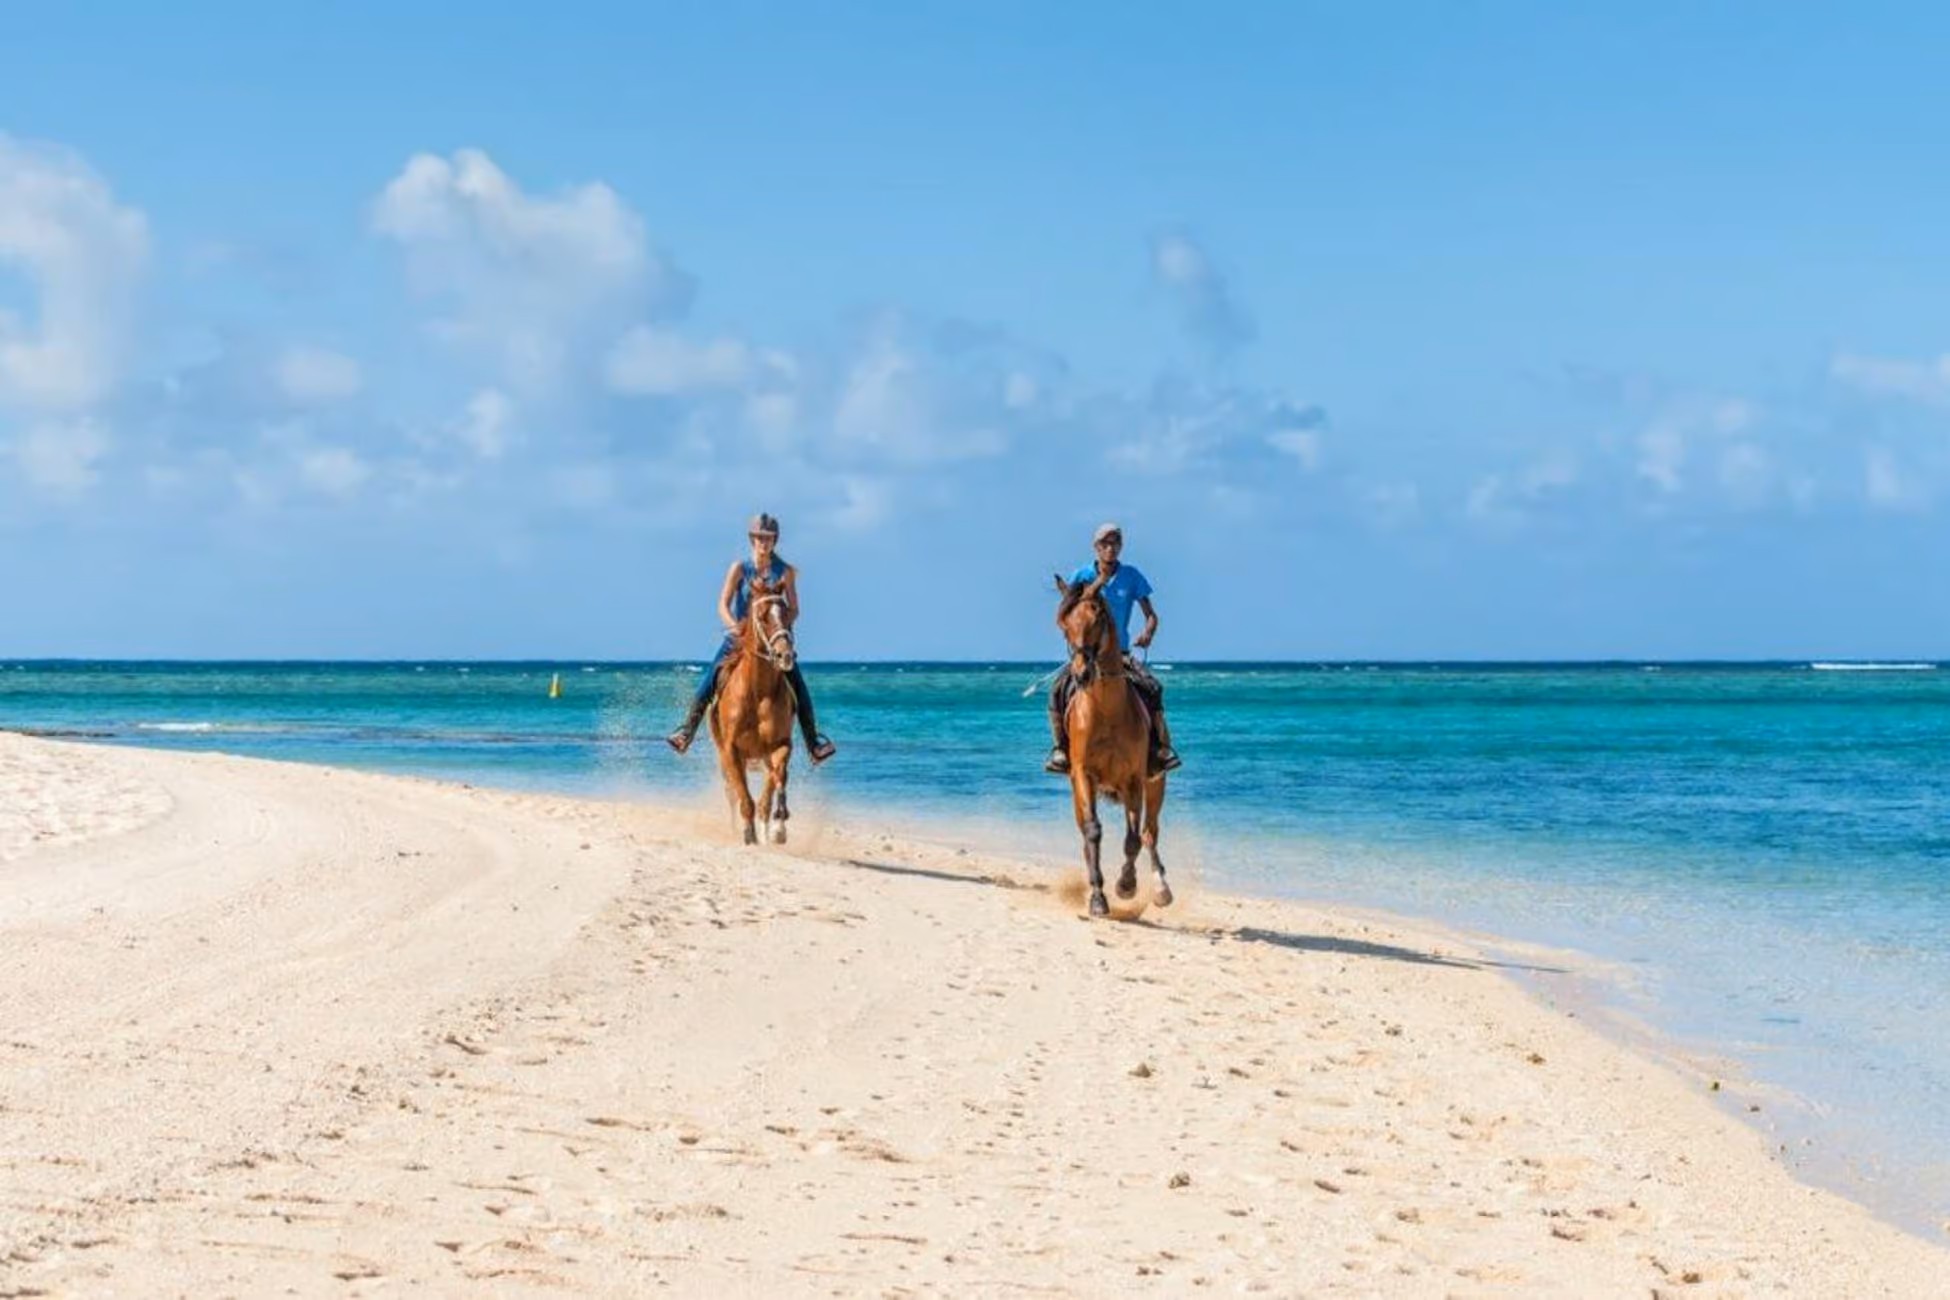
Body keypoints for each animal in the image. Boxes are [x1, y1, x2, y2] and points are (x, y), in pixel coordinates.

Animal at [707, 575, 799, 845]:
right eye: (762, 616)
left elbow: (777, 781)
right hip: (725, 758)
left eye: (787, 613)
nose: (785, 655)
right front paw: (749, 836)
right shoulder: (731, 751)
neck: (758, 692)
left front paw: (778, 827)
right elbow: (744, 798)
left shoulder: (780, 746)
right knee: (732, 793)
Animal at [1052, 572, 1173, 917]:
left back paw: (1161, 889)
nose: (1081, 674)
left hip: (1156, 783)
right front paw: (1098, 897)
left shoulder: (1134, 780)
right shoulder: (1083, 775)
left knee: (1150, 832)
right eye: (1064, 624)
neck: (1105, 709)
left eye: (1097, 618)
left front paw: (1126, 885)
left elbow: (1133, 840)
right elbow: (1093, 831)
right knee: (1086, 832)